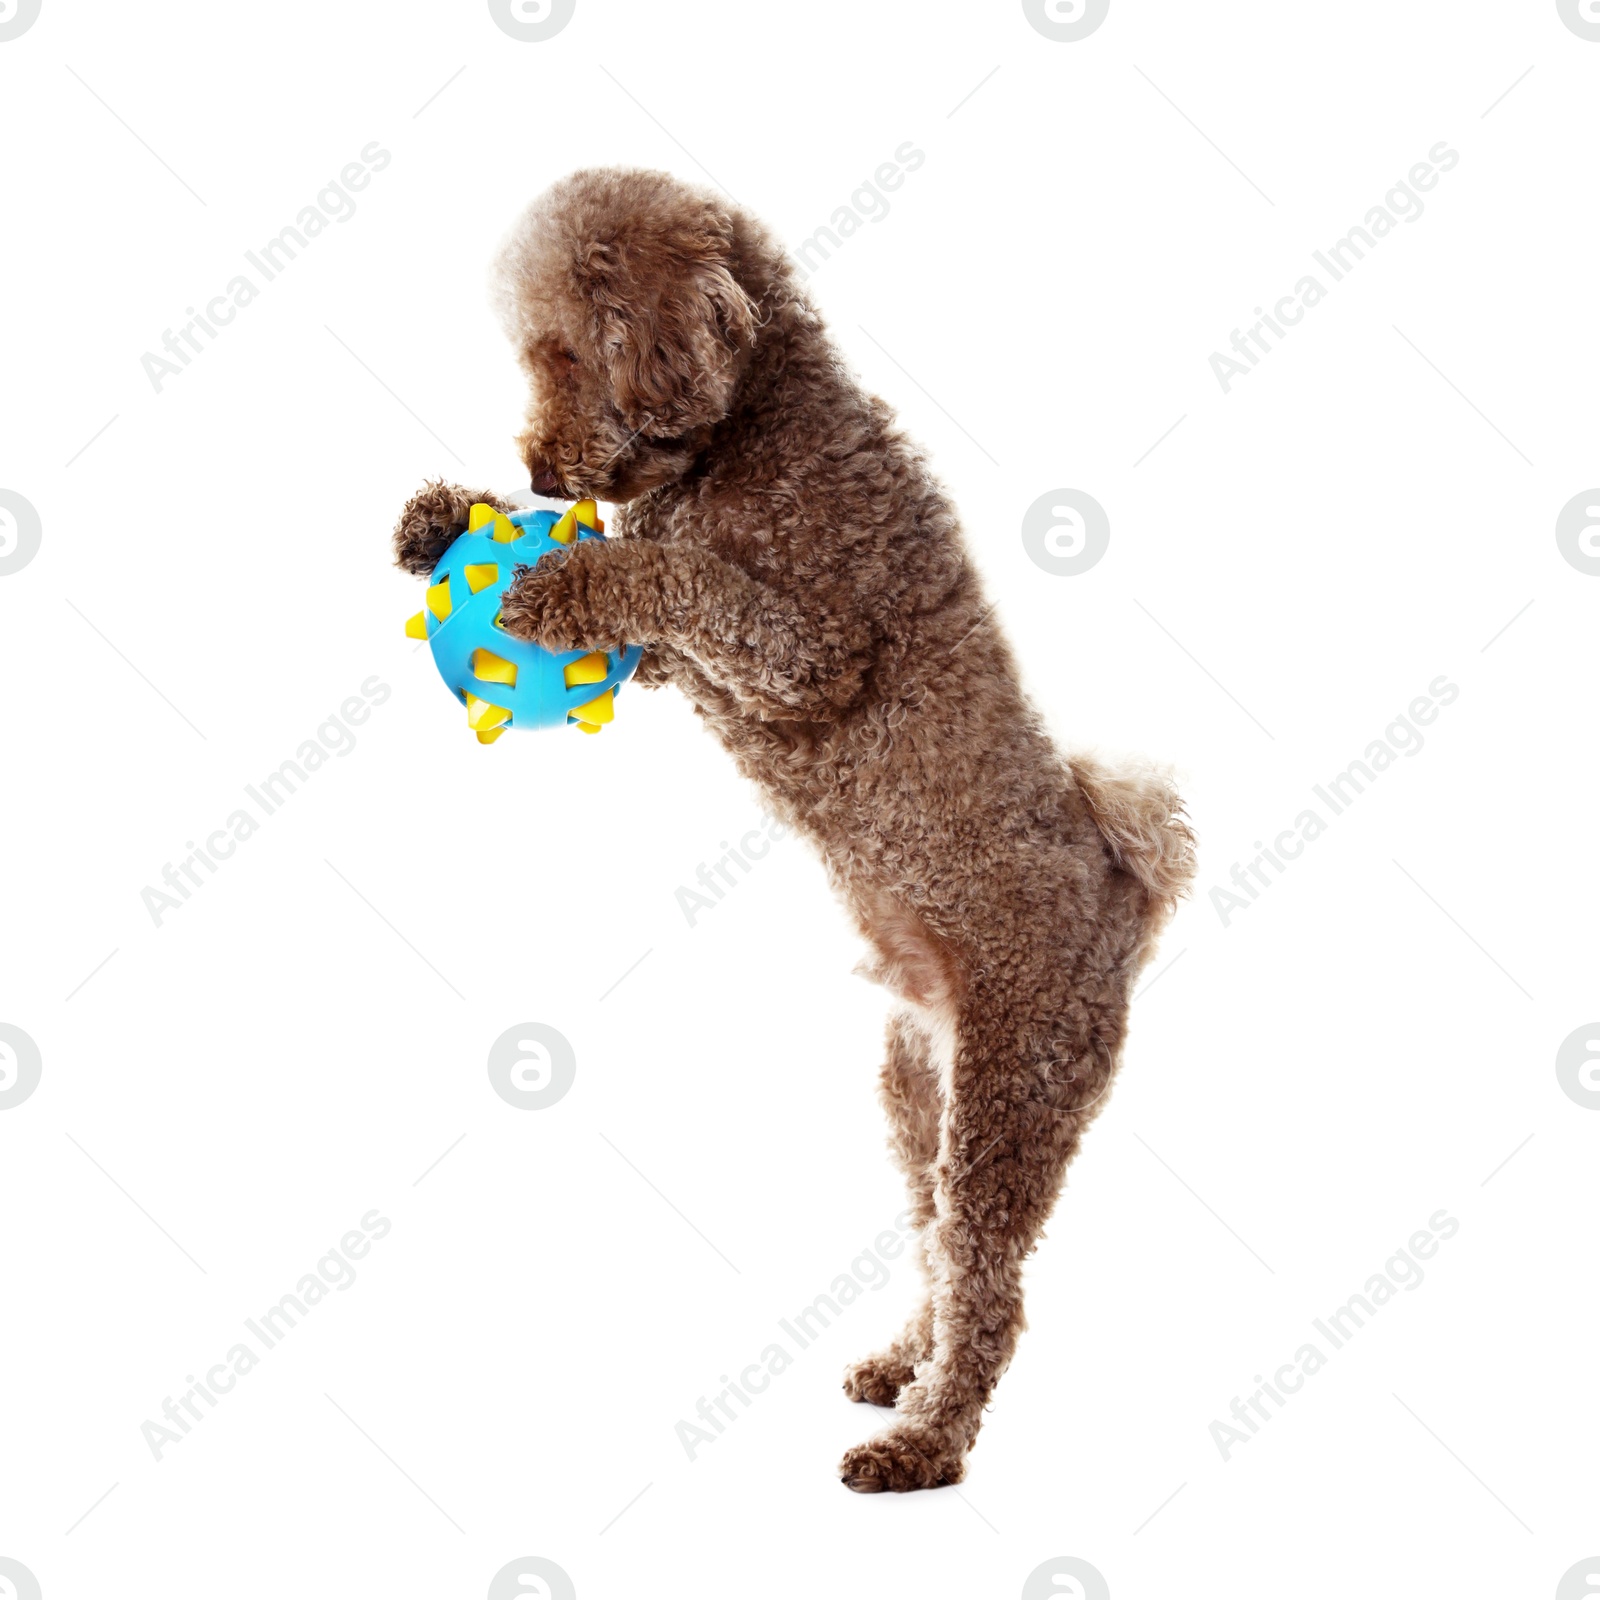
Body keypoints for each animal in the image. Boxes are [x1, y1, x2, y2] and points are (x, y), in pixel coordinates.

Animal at [393, 168, 1196, 1491]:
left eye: (569, 352)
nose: (545, 476)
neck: (751, 425)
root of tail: (1125, 889)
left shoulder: (807, 648)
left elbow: (677, 577)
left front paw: (560, 581)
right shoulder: (687, 669)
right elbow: (657, 587)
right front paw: (445, 515)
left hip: (1014, 1090)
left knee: (989, 1282)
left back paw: (924, 1438)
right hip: (917, 1090)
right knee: (936, 1241)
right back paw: (903, 1362)